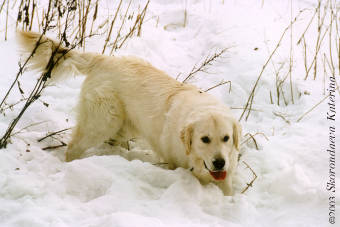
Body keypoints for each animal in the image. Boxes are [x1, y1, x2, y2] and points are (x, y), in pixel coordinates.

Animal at [17, 31, 242, 196]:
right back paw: (72, 166)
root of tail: (104, 60)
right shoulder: (174, 162)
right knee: (74, 147)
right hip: (102, 122)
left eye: (226, 138)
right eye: (205, 139)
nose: (219, 162)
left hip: (121, 126)